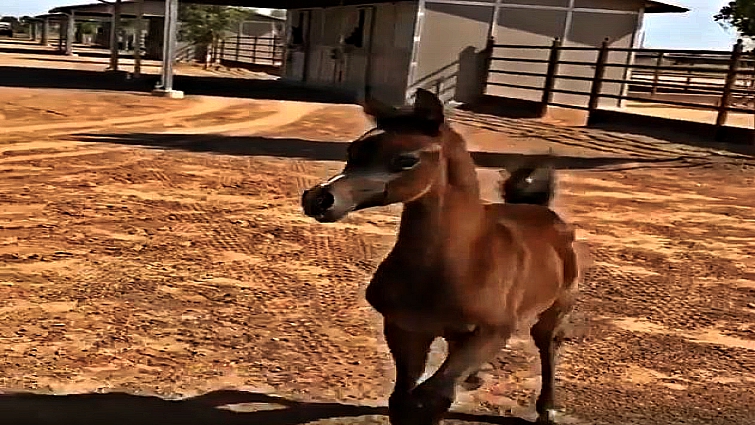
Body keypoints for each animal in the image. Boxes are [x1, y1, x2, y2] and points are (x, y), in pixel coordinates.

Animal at [301, 89, 580, 425]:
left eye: (407, 160)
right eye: (352, 150)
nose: (319, 199)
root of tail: (544, 211)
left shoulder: (493, 331)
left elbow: (432, 397)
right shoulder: (405, 328)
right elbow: (403, 398)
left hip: (555, 310)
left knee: (548, 346)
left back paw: (546, 408)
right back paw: (475, 378)